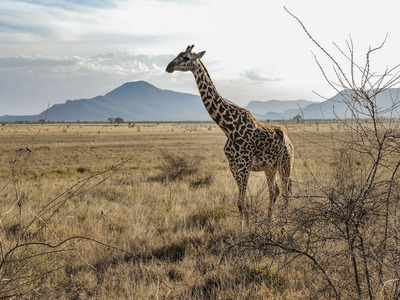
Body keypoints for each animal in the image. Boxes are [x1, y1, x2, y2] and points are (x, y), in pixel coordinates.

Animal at [166, 44, 294, 225]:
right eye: (178, 54)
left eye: (186, 57)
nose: (168, 66)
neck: (227, 127)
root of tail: (289, 141)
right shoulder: (233, 165)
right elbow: (241, 202)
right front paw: (244, 227)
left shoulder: (245, 164)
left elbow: (242, 201)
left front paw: (246, 229)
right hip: (270, 167)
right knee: (274, 191)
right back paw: (269, 222)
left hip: (286, 162)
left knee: (286, 191)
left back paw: (284, 223)